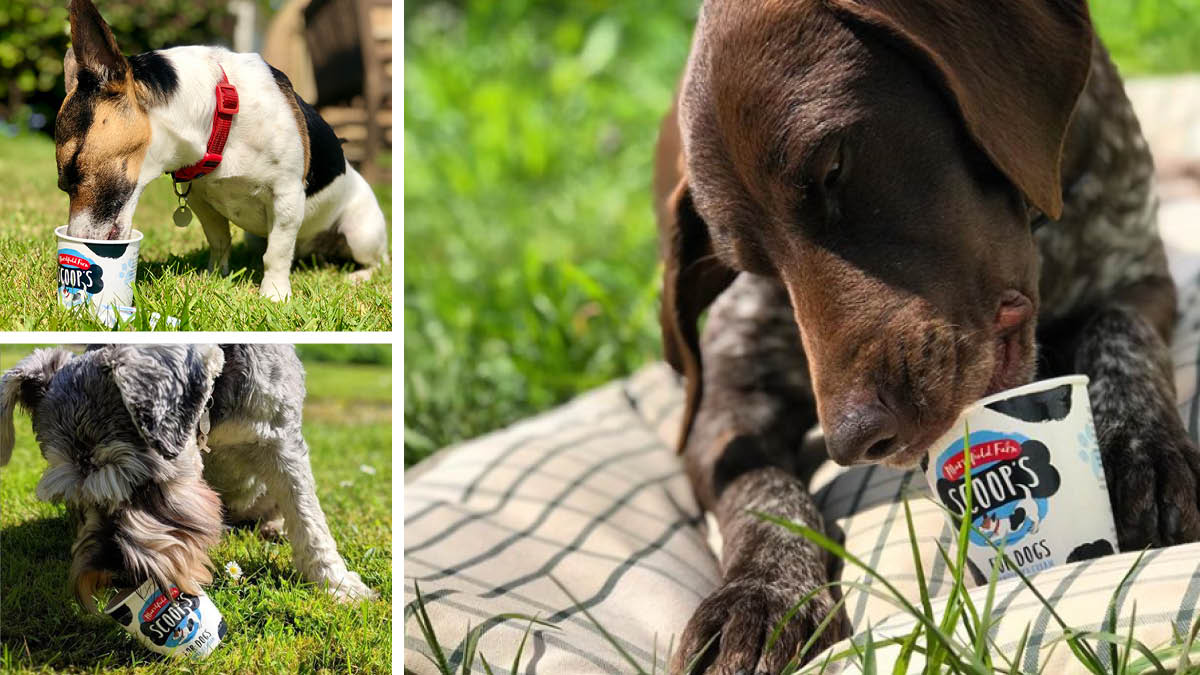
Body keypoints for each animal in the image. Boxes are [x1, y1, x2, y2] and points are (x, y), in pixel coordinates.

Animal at [0, 343, 374, 607]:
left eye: (146, 486)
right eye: (75, 500)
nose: (114, 573)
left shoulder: (280, 438)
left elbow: (308, 517)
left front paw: (338, 585)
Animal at [657, 2, 1200, 667]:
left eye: (833, 167)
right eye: (751, 265)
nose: (853, 441)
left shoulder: (1139, 278)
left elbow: (1119, 337)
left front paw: (1139, 448)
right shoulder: (726, 396)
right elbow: (759, 487)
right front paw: (762, 592)